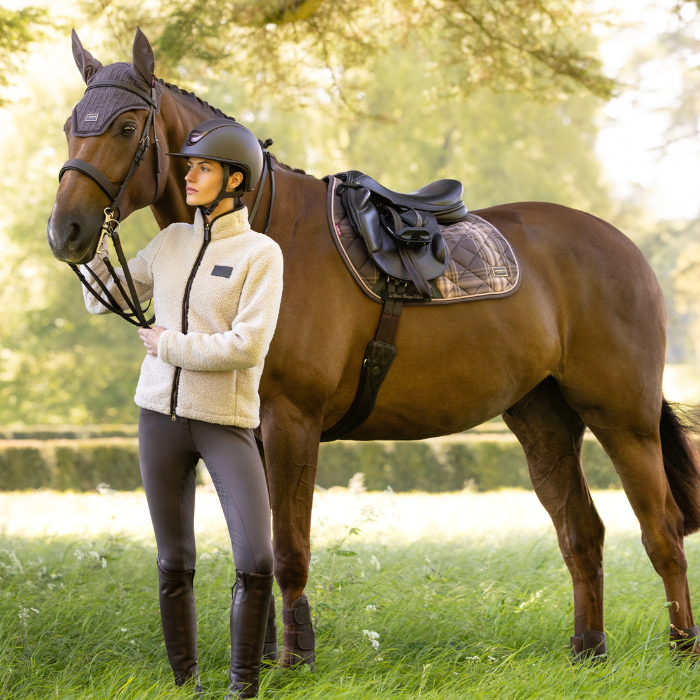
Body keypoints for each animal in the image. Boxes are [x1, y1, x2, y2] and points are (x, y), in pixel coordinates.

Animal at [48, 29, 700, 666]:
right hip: (543, 420)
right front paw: (264, 655)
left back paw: (680, 648)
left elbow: (290, 549)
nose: (65, 232)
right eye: (70, 124)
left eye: (126, 127)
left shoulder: (292, 422)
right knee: (582, 534)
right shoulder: (250, 432)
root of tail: (624, 246)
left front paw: (297, 658)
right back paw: (588, 651)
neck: (267, 233)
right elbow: (256, 547)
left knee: (662, 531)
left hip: (622, 418)